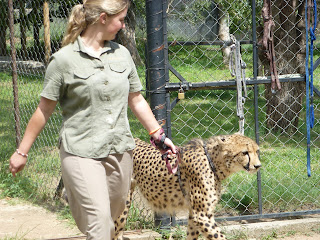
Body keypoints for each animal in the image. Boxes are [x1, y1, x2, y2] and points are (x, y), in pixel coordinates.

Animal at [114, 133, 262, 240]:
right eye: (245, 152)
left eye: (257, 151)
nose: (258, 166)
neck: (213, 161)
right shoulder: (202, 215)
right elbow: (219, 237)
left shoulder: (194, 214)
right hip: (123, 202)